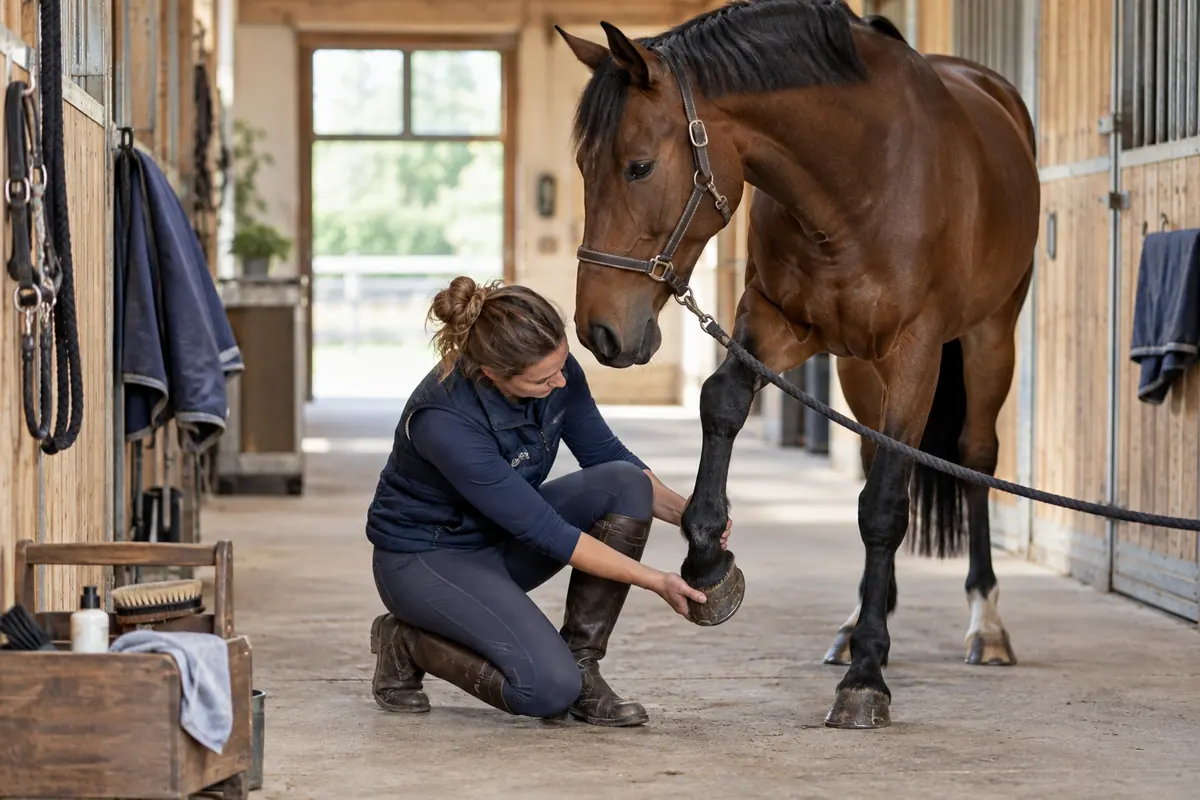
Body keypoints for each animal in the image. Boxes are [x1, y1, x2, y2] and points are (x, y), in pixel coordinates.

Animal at [555, 0, 1040, 729]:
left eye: (638, 166)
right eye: (584, 168)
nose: (599, 332)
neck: (858, 178)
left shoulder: (917, 352)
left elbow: (885, 507)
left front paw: (868, 678)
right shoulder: (778, 322)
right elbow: (722, 401)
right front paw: (708, 558)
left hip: (989, 337)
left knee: (974, 457)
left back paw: (985, 624)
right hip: (858, 369)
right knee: (871, 457)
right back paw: (857, 621)